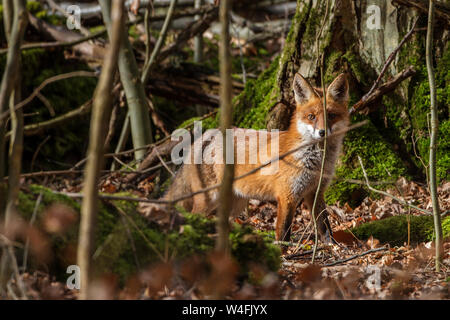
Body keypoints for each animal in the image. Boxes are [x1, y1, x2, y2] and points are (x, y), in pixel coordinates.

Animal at [144, 72, 352, 242]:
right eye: (311, 116)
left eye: (331, 115)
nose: (322, 132)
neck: (315, 161)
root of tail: (205, 136)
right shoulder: (287, 196)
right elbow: (283, 232)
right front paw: (283, 253)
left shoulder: (315, 192)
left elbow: (325, 226)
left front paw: (333, 246)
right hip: (209, 198)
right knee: (194, 216)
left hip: (235, 202)